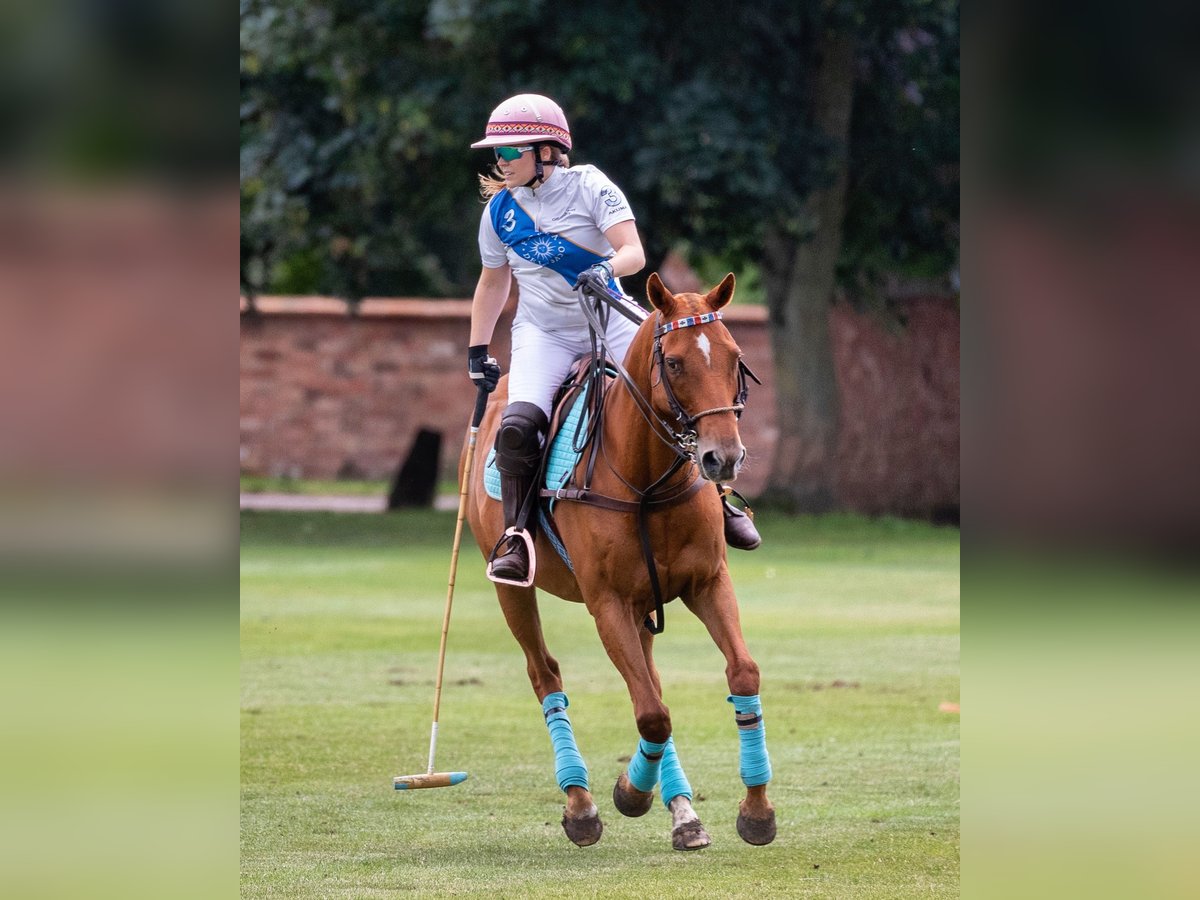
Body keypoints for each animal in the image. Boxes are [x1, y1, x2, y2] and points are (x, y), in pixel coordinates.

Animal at [463, 274, 772, 854]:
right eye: (673, 362)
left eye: (735, 357)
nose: (723, 458)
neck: (648, 480)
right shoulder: (607, 603)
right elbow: (651, 714)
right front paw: (630, 794)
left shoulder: (707, 583)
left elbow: (740, 673)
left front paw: (756, 811)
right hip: (513, 588)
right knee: (546, 673)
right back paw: (581, 805)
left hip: (644, 603)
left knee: (650, 679)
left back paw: (683, 812)